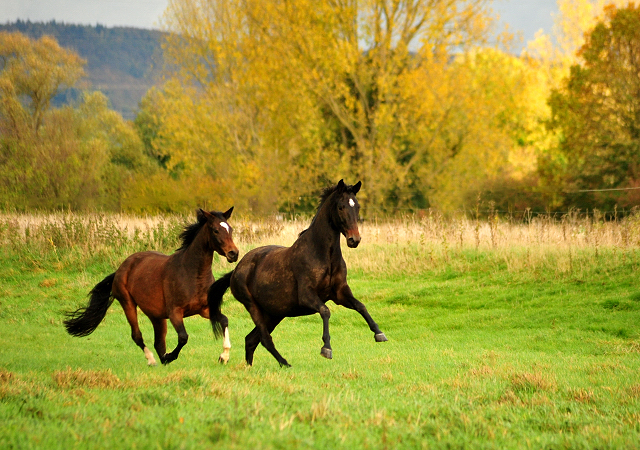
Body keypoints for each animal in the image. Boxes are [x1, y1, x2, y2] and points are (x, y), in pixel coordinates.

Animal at [63, 209, 239, 368]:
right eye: (216, 230)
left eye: (230, 229)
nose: (234, 254)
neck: (193, 274)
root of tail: (121, 268)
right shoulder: (175, 312)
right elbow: (183, 337)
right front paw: (170, 357)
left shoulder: (205, 309)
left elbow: (224, 320)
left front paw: (224, 357)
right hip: (128, 304)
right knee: (137, 336)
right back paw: (153, 360)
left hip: (156, 315)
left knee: (158, 341)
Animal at [210, 181, 388, 368]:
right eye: (341, 207)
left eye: (357, 206)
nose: (354, 240)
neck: (322, 254)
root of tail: (236, 270)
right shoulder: (307, 296)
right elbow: (325, 311)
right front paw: (326, 348)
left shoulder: (340, 293)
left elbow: (361, 306)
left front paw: (379, 333)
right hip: (253, 307)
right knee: (264, 339)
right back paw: (284, 363)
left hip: (273, 314)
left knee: (251, 340)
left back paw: (250, 367)